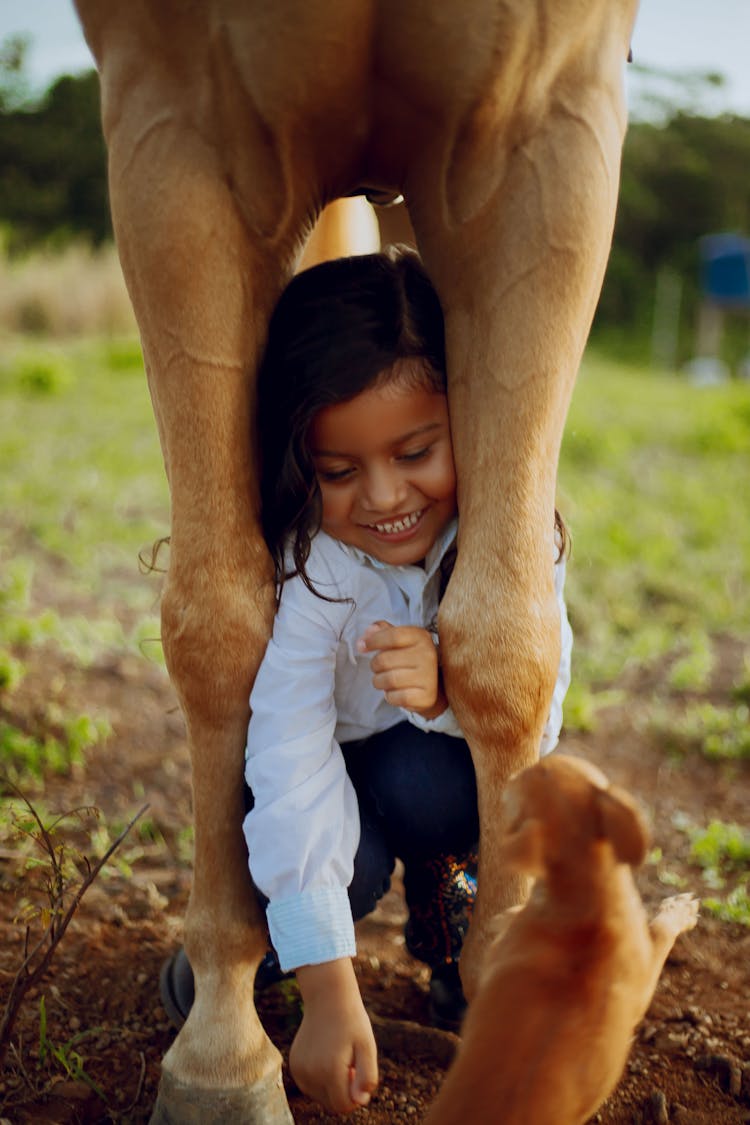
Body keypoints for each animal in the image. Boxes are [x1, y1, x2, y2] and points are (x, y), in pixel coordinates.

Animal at [73, 4, 638, 1120]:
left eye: (414, 450)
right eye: (337, 467)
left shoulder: (549, 124)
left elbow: (507, 639)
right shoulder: (175, 124)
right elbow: (223, 628)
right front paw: (224, 1048)